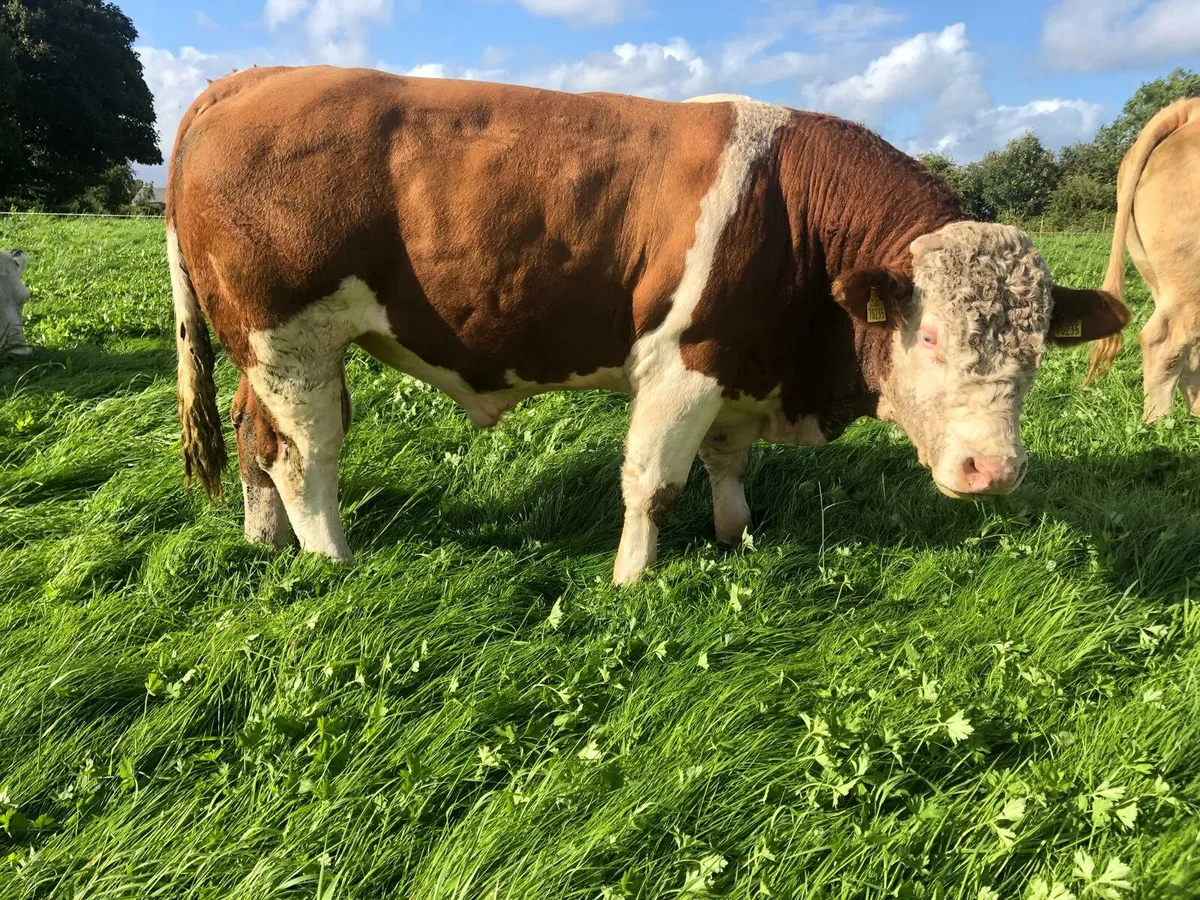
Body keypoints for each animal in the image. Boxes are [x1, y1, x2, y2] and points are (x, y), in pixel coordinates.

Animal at [167, 66, 1128, 584]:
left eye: (1037, 351)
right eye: (926, 337)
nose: (993, 471)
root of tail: (245, 81)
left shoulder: (740, 362)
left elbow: (728, 465)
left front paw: (737, 537)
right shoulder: (682, 361)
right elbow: (653, 482)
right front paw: (632, 578)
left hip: (269, 353)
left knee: (256, 442)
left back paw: (264, 542)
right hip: (290, 340)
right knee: (304, 456)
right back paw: (333, 559)